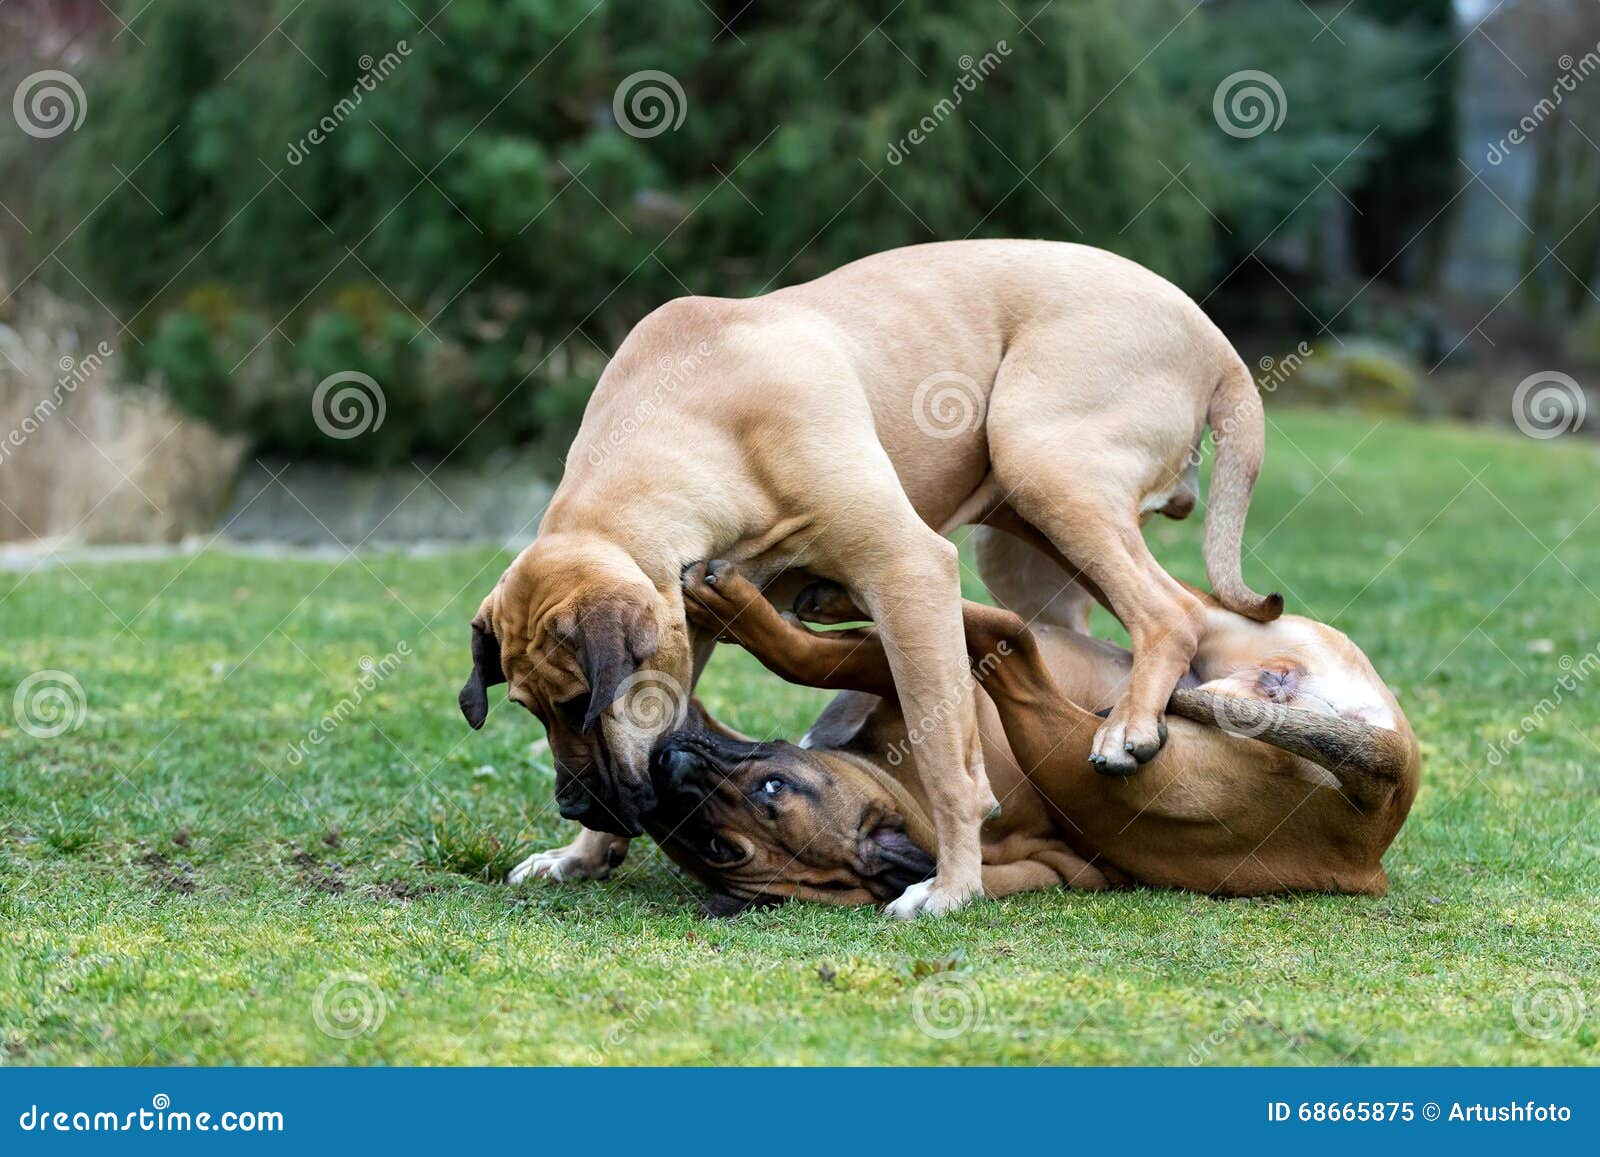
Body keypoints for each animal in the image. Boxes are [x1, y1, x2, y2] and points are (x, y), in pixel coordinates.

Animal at [460, 240, 1273, 921]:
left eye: (578, 704)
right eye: (531, 710)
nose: (573, 806)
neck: (700, 422)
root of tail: (1214, 340)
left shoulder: (908, 571)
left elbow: (944, 757)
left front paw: (953, 885)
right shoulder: (686, 625)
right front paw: (582, 857)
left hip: (1041, 462)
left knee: (1168, 612)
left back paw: (1129, 727)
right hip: (1026, 535)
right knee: (1159, 615)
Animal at [643, 553, 1420, 915]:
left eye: (772, 787)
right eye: (712, 846)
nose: (667, 771)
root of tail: (1372, 822)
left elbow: (809, 656)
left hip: (1093, 724)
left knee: (1027, 630)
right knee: (1031, 634)